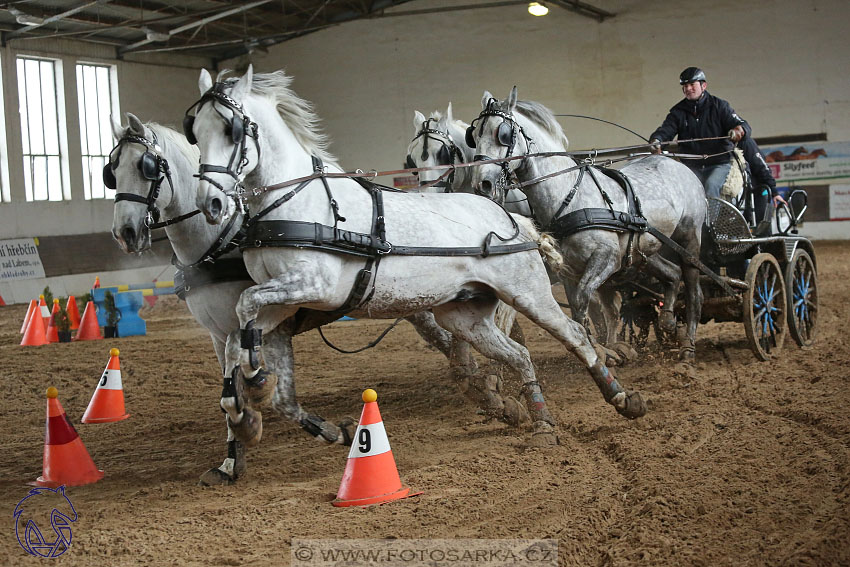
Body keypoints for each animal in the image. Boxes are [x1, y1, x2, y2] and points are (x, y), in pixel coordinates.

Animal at [187, 66, 644, 448]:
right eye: (195, 131)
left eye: (231, 129)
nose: (211, 202)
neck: (300, 203)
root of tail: (510, 216)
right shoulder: (284, 302)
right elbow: (241, 332)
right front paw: (244, 403)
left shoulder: (312, 286)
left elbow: (245, 305)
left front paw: (254, 383)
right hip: (463, 314)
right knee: (518, 353)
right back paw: (541, 422)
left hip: (529, 294)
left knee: (575, 333)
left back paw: (621, 396)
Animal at [468, 90, 704, 360]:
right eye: (474, 135)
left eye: (503, 134)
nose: (482, 184)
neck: (568, 195)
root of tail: (677, 164)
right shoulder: (568, 269)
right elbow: (578, 309)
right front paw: (599, 350)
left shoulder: (607, 258)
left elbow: (583, 300)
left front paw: (600, 350)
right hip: (643, 251)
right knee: (672, 274)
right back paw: (668, 322)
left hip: (688, 240)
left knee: (694, 291)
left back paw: (687, 347)